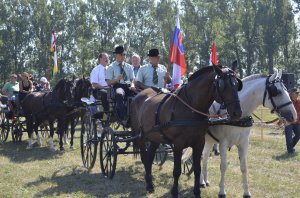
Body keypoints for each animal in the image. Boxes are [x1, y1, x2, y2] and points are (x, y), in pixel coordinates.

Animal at [130, 64, 243, 197]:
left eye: (237, 84)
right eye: (222, 85)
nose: (237, 113)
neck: (191, 108)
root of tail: (140, 94)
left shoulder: (199, 142)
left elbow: (197, 169)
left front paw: (197, 192)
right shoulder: (178, 144)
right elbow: (177, 170)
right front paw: (174, 192)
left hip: (155, 137)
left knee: (150, 156)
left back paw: (150, 184)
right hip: (141, 136)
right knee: (144, 157)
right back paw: (148, 184)